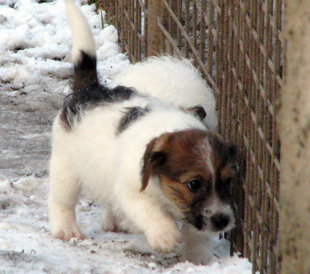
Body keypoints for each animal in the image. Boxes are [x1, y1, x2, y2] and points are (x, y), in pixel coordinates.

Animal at [47, 0, 237, 266]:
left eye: (228, 181)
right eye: (194, 184)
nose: (222, 220)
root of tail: (90, 90)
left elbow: (196, 232)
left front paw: (197, 258)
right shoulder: (132, 192)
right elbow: (151, 212)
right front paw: (166, 236)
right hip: (65, 167)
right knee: (61, 200)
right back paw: (66, 229)